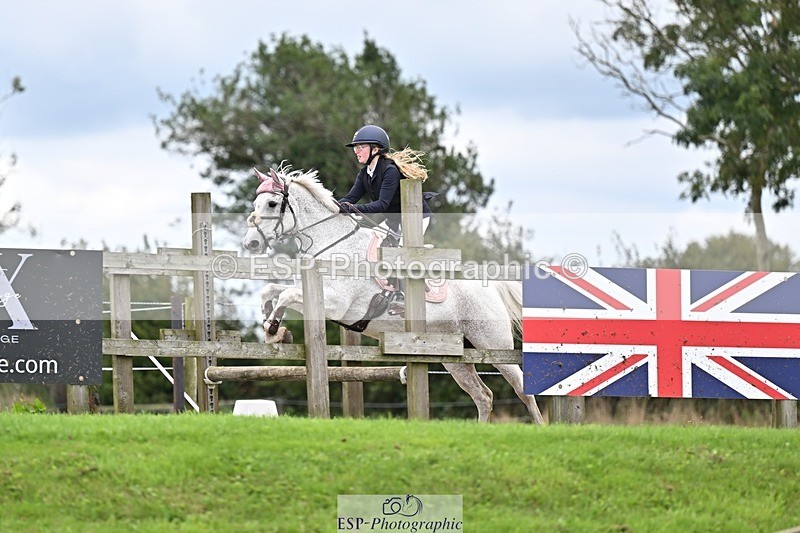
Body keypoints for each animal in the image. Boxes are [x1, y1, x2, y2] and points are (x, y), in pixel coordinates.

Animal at [241, 166, 544, 424]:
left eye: (271, 204)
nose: (251, 244)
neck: (331, 243)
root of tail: (490, 287)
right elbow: (274, 291)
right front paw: (271, 326)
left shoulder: (336, 303)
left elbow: (286, 295)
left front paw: (274, 328)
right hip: (450, 354)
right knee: (483, 396)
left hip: (493, 342)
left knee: (522, 389)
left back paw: (541, 427)